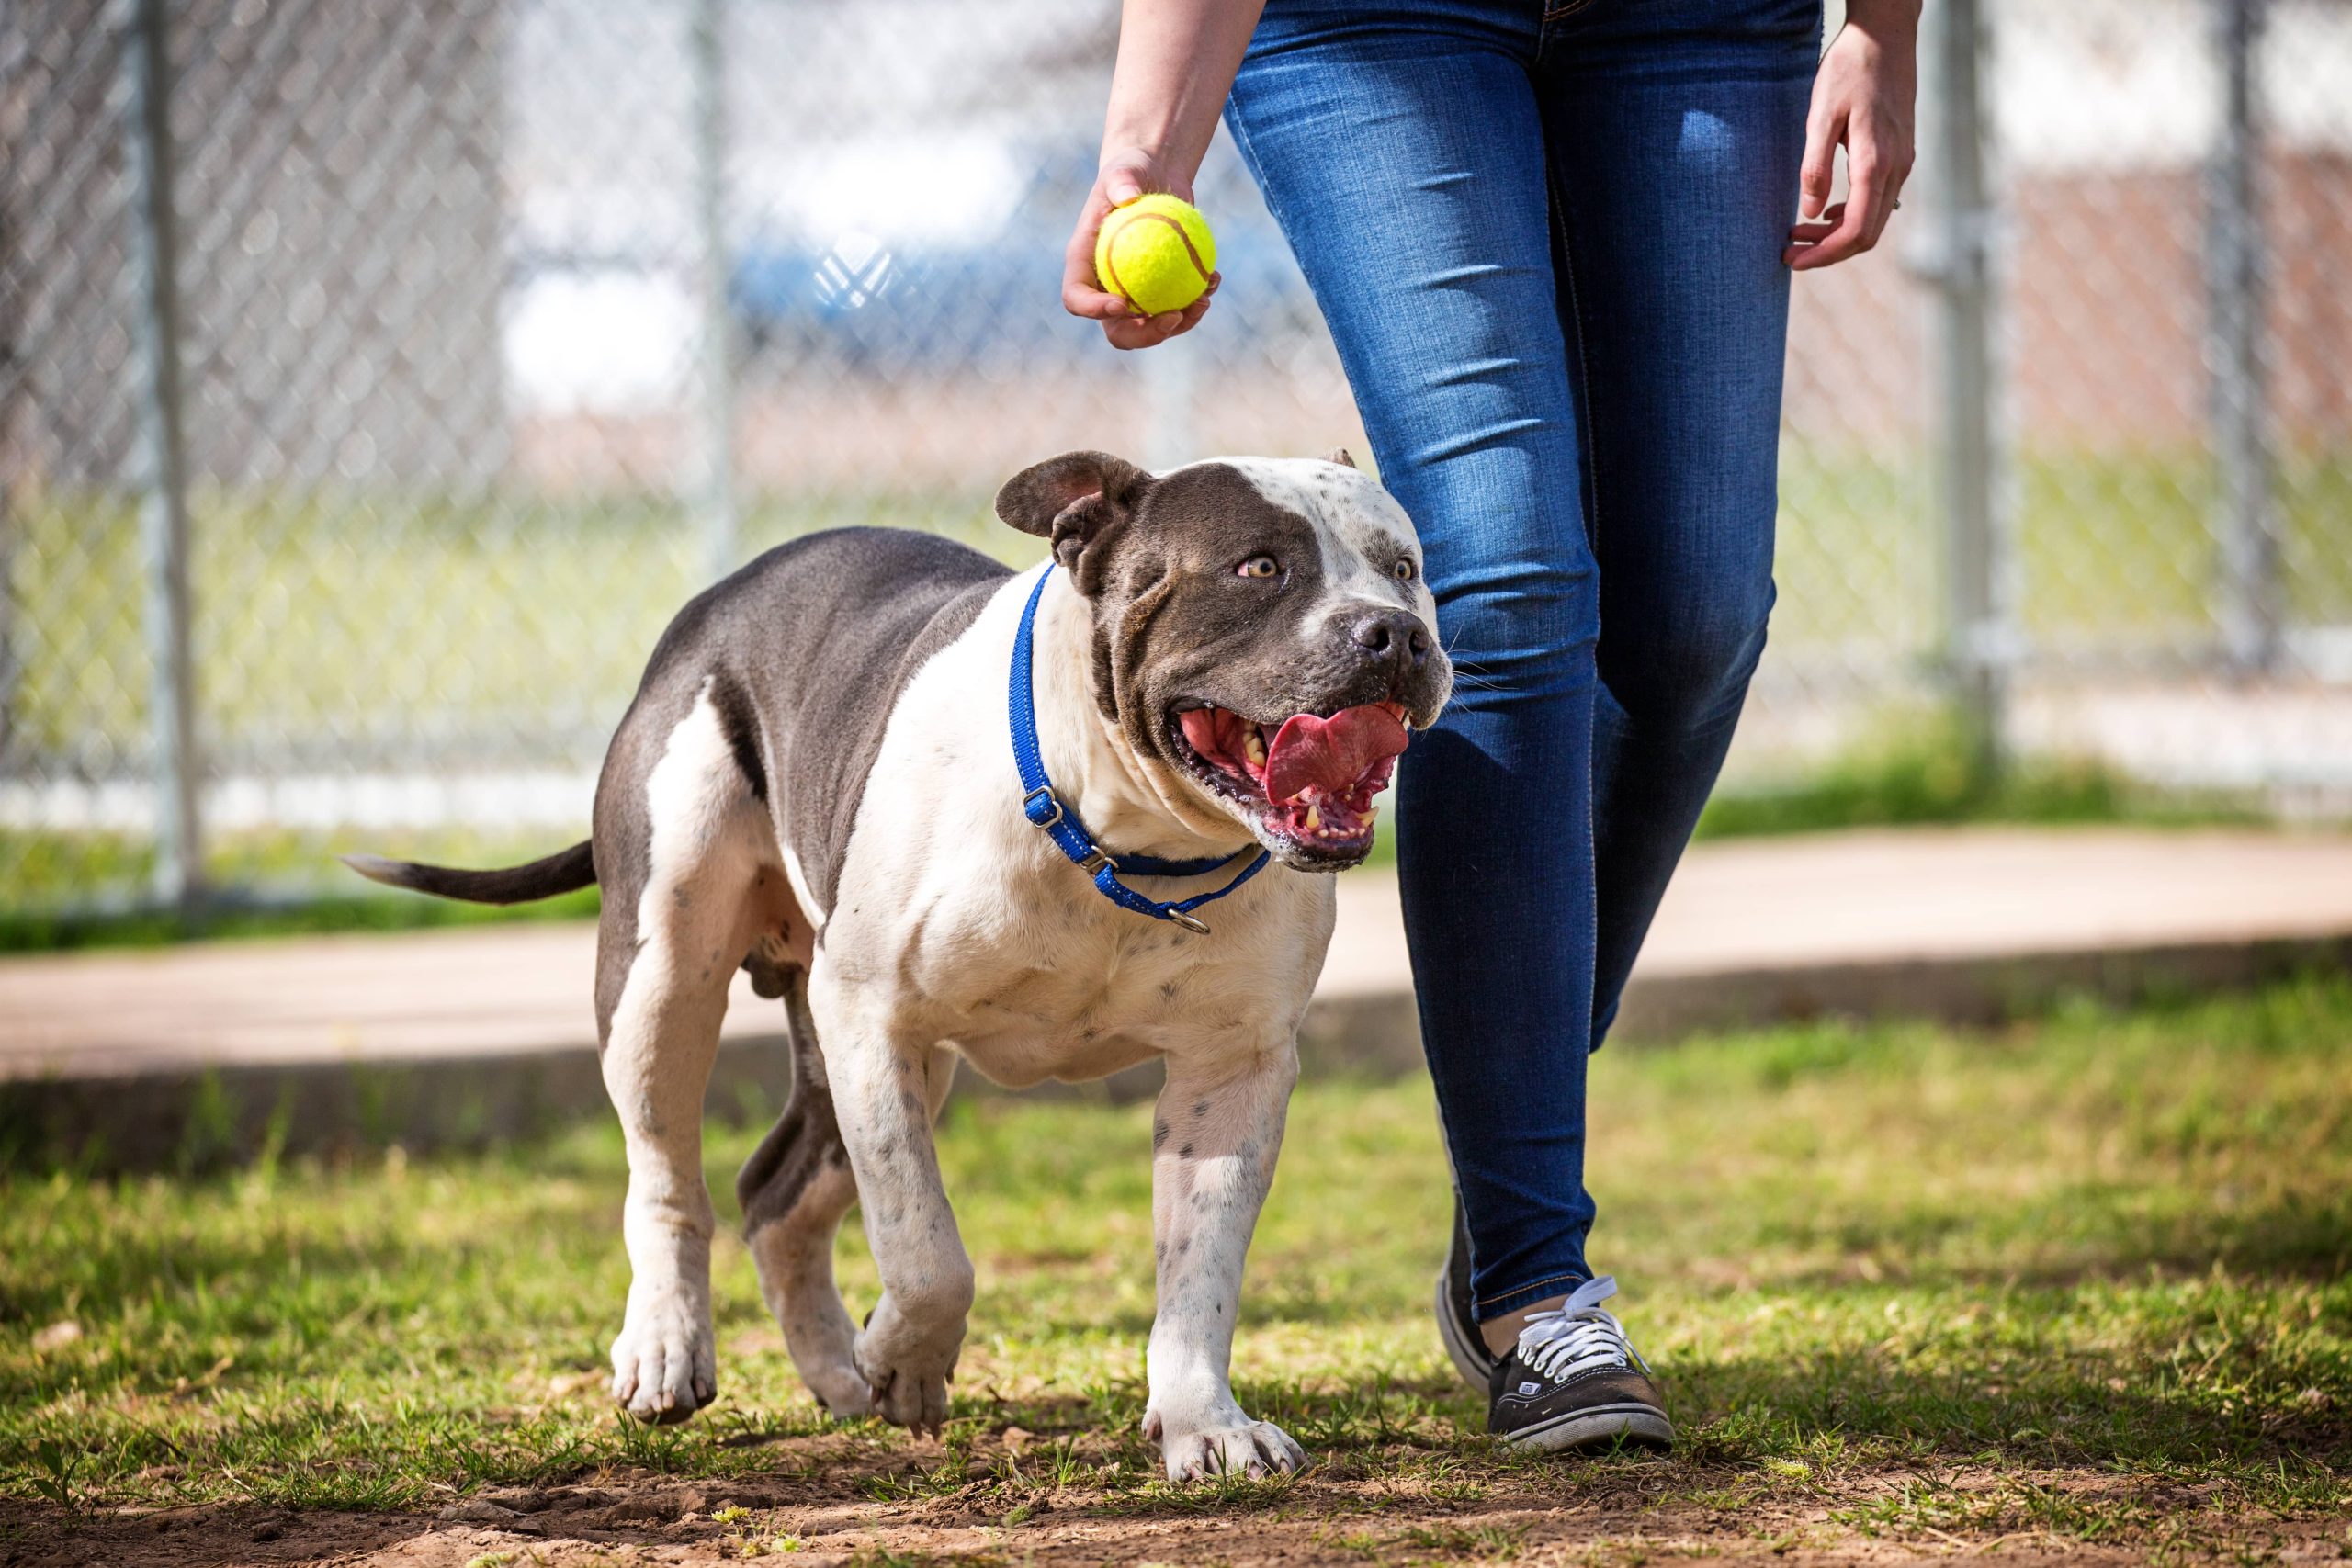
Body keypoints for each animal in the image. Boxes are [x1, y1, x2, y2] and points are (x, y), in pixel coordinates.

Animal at [343, 446, 1448, 1476]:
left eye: (1405, 568)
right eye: (1260, 566)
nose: (1395, 632)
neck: (1123, 842)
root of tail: (720, 600)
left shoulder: (1232, 1071)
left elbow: (1199, 1272)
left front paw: (1204, 1426)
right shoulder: (876, 1020)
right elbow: (926, 1252)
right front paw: (908, 1359)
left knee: (776, 1192)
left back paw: (836, 1370)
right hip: (666, 974)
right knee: (666, 1170)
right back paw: (671, 1345)